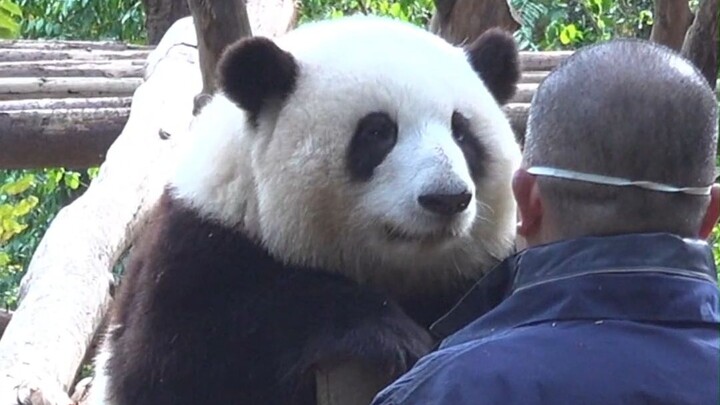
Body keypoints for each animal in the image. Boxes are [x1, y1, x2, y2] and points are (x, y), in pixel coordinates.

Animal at [87, 15, 521, 405]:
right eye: (378, 131)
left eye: (462, 132)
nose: (446, 198)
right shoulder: (197, 247)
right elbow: (181, 361)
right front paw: (388, 335)